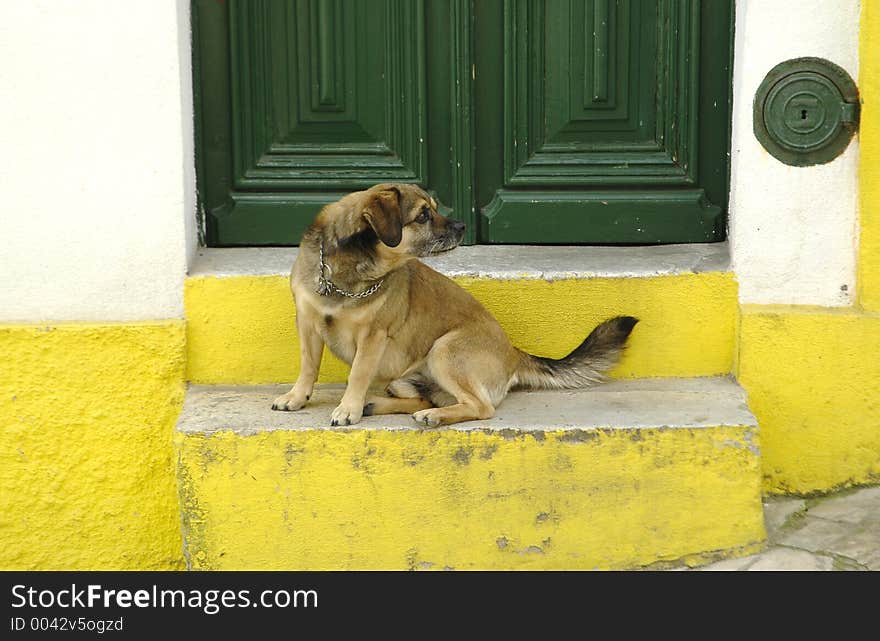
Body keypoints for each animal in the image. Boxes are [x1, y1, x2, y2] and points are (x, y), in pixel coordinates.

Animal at [272, 182, 636, 428]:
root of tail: (514, 353)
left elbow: (357, 374)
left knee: (480, 407)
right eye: (423, 215)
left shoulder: (372, 337)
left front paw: (348, 408)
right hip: (405, 377)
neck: (347, 272)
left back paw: (431, 415)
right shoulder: (307, 323)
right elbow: (308, 366)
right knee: (421, 396)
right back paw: (377, 404)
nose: (462, 226)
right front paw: (297, 397)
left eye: (434, 209)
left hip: (444, 350)